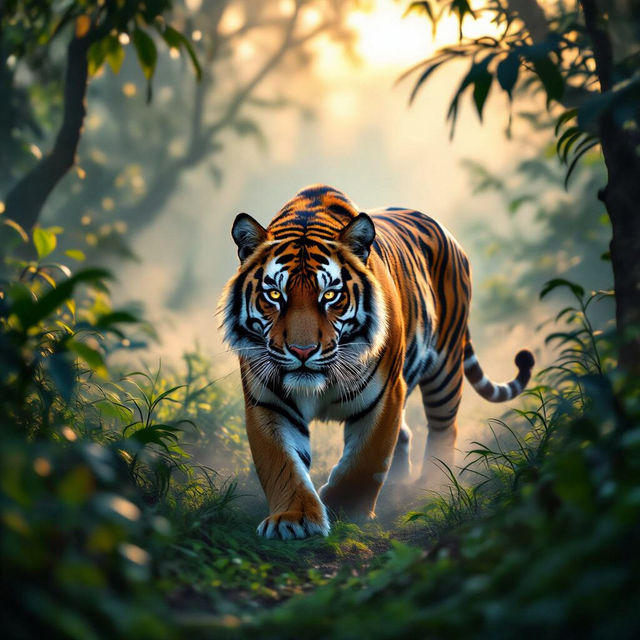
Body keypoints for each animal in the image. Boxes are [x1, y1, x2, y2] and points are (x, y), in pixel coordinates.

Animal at [219, 184, 534, 540]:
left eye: (330, 296)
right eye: (274, 295)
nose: (302, 351)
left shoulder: (385, 394)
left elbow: (366, 459)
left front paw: (345, 508)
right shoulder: (268, 401)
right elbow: (281, 462)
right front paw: (294, 519)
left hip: (445, 367)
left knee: (443, 427)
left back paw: (431, 486)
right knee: (406, 434)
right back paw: (397, 485)